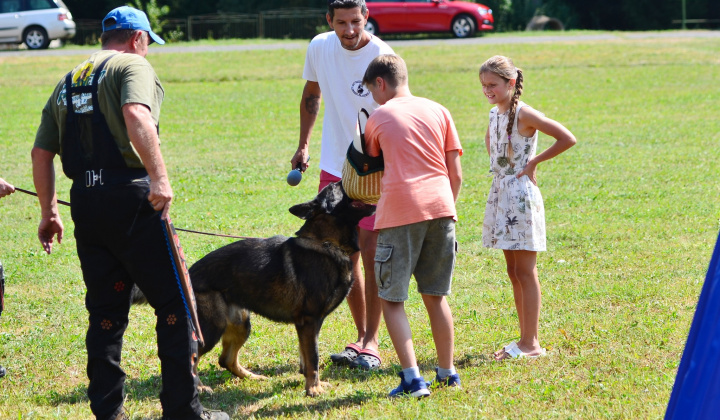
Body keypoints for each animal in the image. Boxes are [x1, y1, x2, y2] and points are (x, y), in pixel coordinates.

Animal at [134, 182, 376, 396]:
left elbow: (307, 358)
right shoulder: (309, 320)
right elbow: (313, 358)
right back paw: (200, 387)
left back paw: (252, 377)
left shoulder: (307, 325)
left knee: (225, 360)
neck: (326, 243)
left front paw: (311, 382)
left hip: (242, 323)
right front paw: (313, 389)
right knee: (193, 357)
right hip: (212, 327)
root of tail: (188, 273)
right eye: (337, 187)